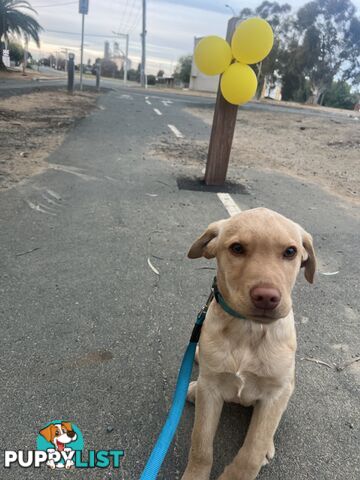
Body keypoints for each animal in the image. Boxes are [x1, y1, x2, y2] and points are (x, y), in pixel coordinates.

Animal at [181, 207, 316, 480]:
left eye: (290, 252)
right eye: (237, 248)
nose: (266, 297)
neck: (249, 330)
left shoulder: (276, 393)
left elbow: (251, 453)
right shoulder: (211, 390)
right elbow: (200, 444)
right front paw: (195, 474)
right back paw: (193, 389)